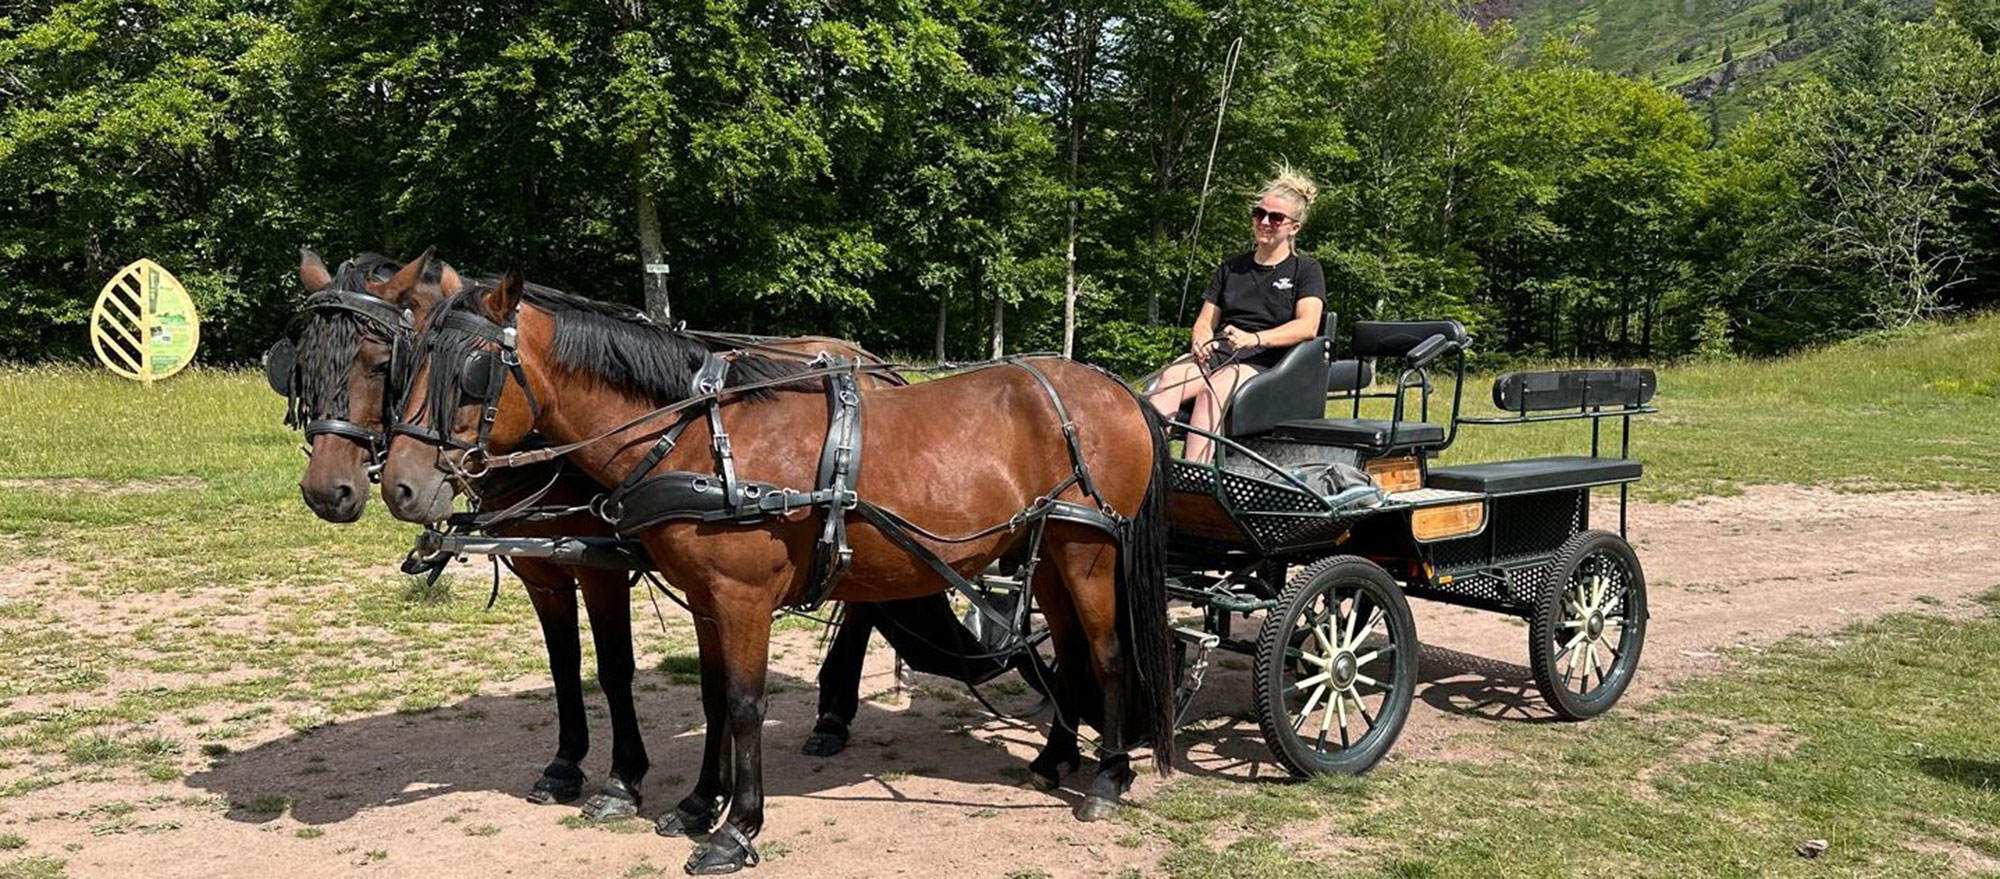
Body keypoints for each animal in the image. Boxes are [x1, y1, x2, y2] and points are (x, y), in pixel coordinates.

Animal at [272, 248, 916, 823]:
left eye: (381, 361)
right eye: (301, 366)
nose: (328, 491)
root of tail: (872, 363)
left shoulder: (599, 567)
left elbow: (613, 668)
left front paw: (623, 780)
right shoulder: (543, 572)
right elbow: (564, 665)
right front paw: (564, 766)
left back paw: (832, 718)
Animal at [378, 273, 1168, 871]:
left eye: (472, 372)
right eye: (408, 363)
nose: (400, 487)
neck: (695, 438)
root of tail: (1119, 392)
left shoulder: (743, 597)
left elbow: (746, 702)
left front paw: (736, 828)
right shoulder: (705, 599)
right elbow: (713, 698)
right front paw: (699, 804)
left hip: (1087, 552)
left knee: (1106, 654)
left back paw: (1108, 777)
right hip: (1048, 555)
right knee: (1069, 653)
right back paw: (1054, 759)